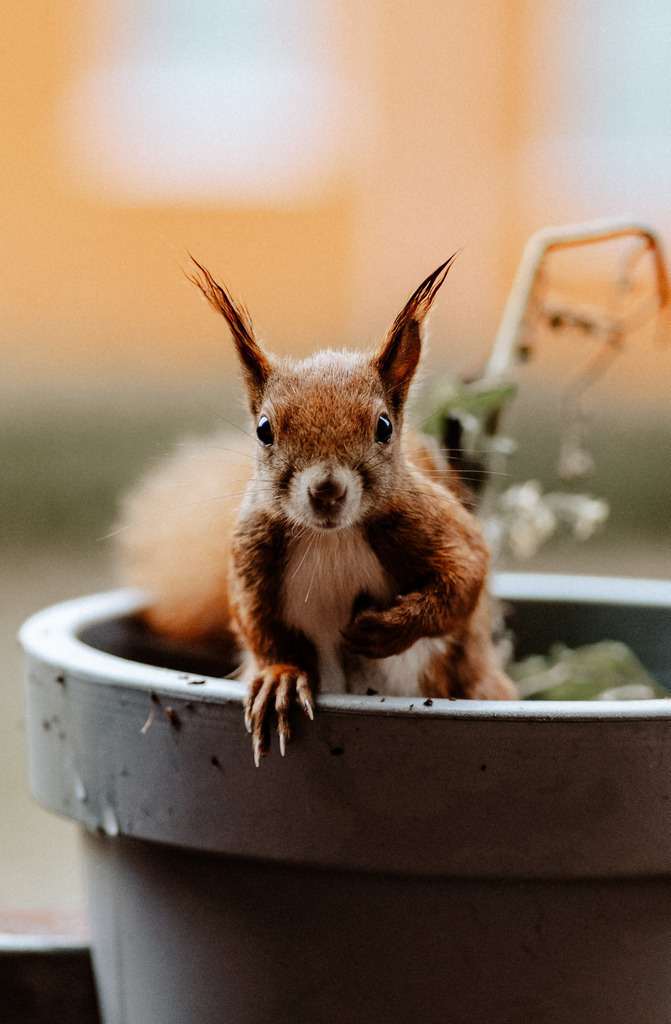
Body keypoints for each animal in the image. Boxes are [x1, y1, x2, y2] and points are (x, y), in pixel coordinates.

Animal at [117, 256, 517, 764]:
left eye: (384, 426)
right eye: (264, 429)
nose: (326, 491)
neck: (331, 536)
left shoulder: (430, 525)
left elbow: (464, 578)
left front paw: (382, 631)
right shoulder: (252, 552)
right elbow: (254, 622)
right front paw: (281, 678)